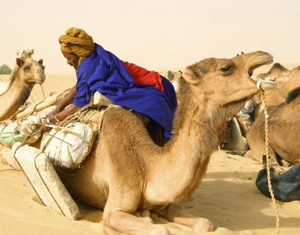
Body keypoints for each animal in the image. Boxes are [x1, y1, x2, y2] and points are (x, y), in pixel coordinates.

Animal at [36, 50, 274, 234]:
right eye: (226, 67)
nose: (264, 55)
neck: (147, 166)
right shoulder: (114, 211)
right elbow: (160, 230)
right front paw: (146, 217)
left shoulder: (165, 203)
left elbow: (205, 224)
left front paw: (147, 214)